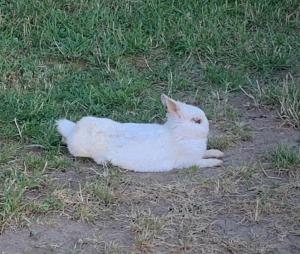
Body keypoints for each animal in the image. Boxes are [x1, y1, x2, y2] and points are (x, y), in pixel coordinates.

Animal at [57, 94, 224, 172]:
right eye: (197, 121)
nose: (208, 128)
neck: (178, 134)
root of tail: (73, 130)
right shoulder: (188, 162)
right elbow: (202, 162)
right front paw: (217, 162)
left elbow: (207, 152)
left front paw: (218, 153)